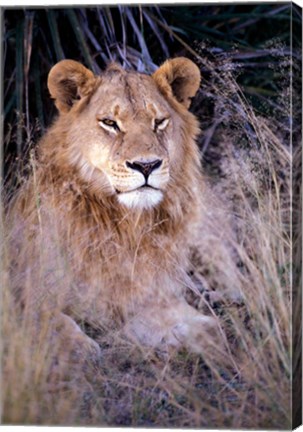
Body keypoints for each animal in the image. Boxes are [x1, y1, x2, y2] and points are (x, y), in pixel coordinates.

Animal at [7, 56, 222, 354]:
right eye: (110, 123)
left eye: (159, 122)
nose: (147, 165)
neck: (126, 224)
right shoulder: (20, 287)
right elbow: (45, 319)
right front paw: (80, 349)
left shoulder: (148, 297)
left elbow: (206, 327)